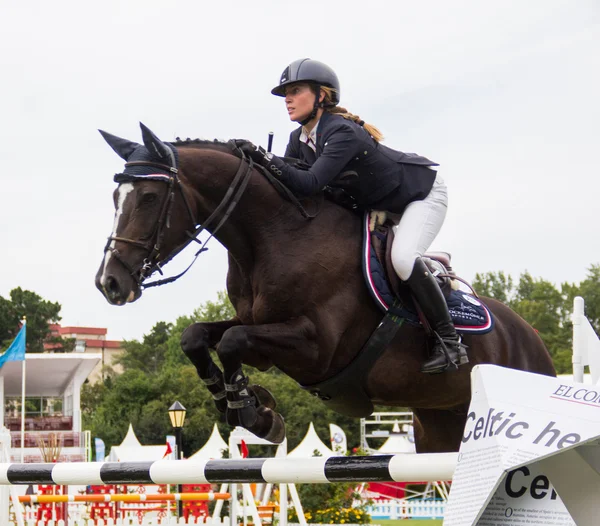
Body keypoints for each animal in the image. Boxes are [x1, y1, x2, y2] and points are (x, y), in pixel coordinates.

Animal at [95, 122, 556, 454]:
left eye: (150, 197)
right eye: (116, 197)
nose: (109, 283)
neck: (274, 235)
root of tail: (531, 335)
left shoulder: (317, 347)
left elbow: (232, 341)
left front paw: (255, 413)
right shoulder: (257, 323)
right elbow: (198, 337)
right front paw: (239, 401)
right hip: (439, 424)